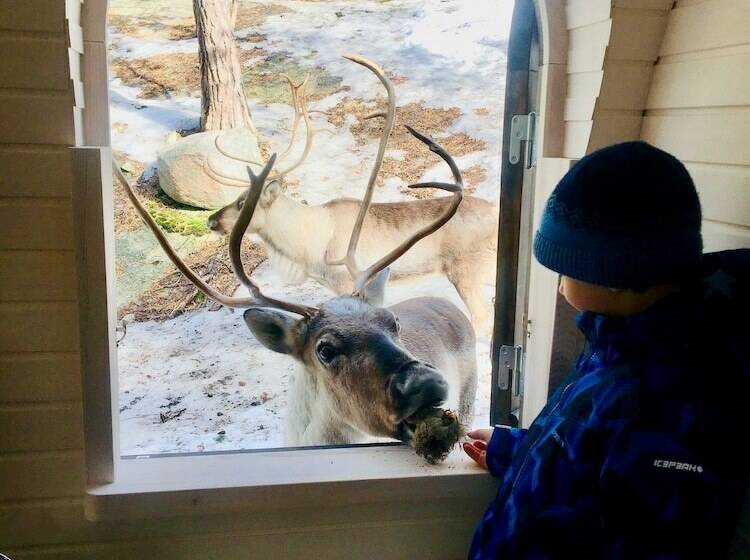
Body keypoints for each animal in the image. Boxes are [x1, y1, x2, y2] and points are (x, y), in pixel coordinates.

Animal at [204, 55, 498, 334]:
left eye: (243, 202)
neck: (304, 247)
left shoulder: (346, 282)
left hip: (466, 271)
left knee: (481, 318)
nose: (211, 221)